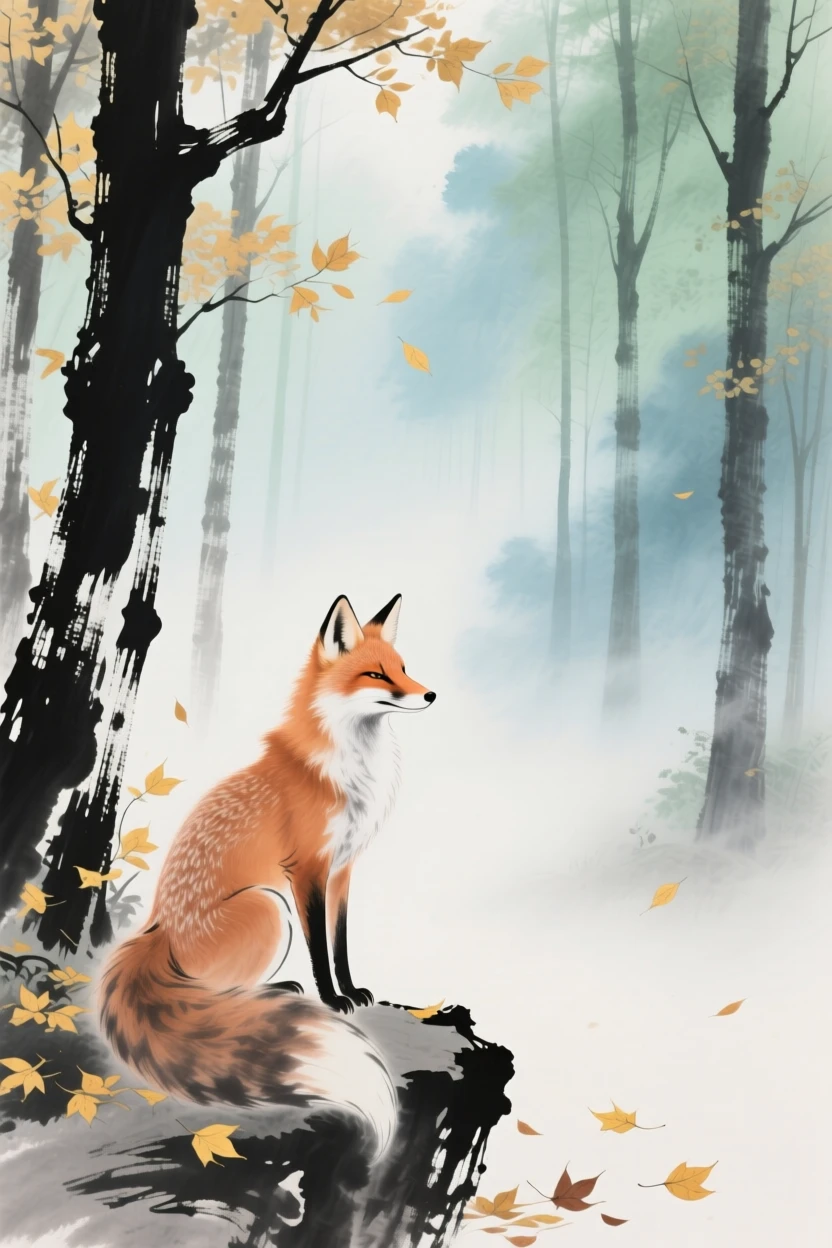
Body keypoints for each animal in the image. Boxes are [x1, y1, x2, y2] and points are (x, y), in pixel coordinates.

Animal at [99, 593, 436, 1158]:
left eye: (404, 668)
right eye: (375, 674)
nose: (430, 694)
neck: (350, 769)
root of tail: (158, 928)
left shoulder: (343, 869)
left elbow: (341, 943)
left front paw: (352, 990)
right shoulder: (306, 871)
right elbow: (320, 949)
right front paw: (333, 999)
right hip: (269, 907)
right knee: (209, 994)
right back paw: (272, 992)